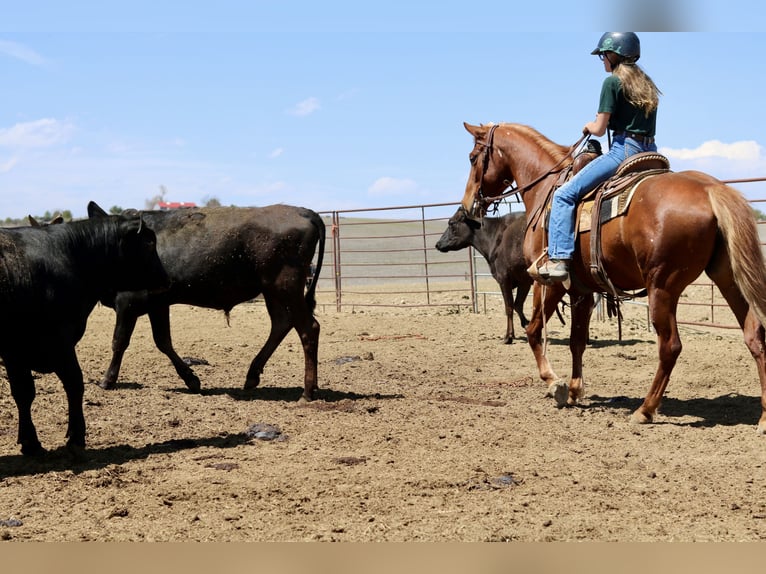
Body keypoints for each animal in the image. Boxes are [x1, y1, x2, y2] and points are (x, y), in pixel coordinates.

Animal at [459, 121, 766, 435]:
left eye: (472, 158)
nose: (469, 203)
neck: (547, 188)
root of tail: (710, 189)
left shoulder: (548, 282)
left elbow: (533, 331)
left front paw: (554, 384)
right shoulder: (581, 290)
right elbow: (577, 341)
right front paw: (574, 390)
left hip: (663, 286)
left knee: (670, 346)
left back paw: (645, 409)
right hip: (728, 278)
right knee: (754, 334)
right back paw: (764, 418)